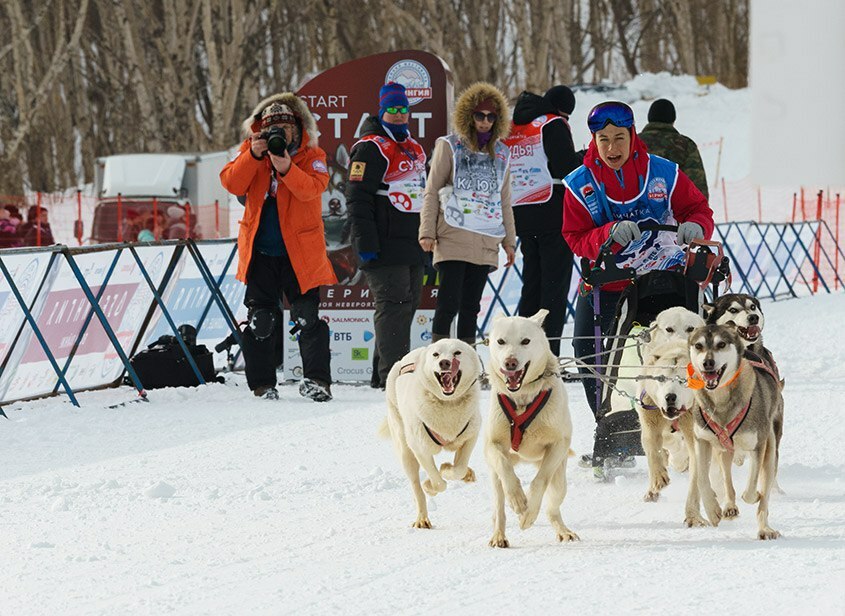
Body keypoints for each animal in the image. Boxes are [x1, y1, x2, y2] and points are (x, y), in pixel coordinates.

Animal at [380, 340, 482, 528]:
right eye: (436, 354)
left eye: (457, 352)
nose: (445, 363)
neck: (448, 405)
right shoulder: (420, 448)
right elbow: (438, 482)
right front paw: (430, 484)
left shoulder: (472, 434)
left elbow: (459, 468)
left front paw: (451, 469)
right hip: (406, 452)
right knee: (416, 488)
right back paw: (422, 518)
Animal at [482, 310, 580, 548]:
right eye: (501, 341)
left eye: (525, 341)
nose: (510, 362)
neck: (521, 399)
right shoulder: (492, 445)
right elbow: (505, 468)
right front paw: (517, 499)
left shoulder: (558, 445)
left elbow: (539, 481)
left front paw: (527, 514)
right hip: (494, 479)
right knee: (499, 507)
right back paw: (498, 535)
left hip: (559, 480)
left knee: (552, 508)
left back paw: (563, 531)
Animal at [640, 342, 704, 524]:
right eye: (661, 379)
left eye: (684, 381)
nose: (670, 397)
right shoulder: (650, 416)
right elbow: (652, 449)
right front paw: (658, 478)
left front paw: (693, 515)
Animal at [688, 322, 780, 540]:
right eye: (698, 346)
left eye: (721, 344)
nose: (708, 363)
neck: (721, 402)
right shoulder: (701, 440)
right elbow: (702, 479)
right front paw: (713, 510)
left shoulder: (758, 445)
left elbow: (751, 490)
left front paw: (754, 495)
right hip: (723, 451)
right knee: (727, 480)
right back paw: (729, 506)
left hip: (770, 449)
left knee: (763, 501)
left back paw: (765, 528)